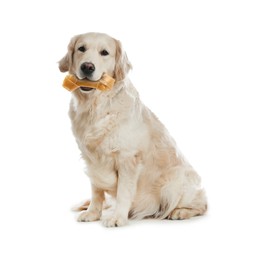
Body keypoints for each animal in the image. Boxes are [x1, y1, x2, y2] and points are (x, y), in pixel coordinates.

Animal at [58, 32, 207, 228]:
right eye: (81, 48)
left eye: (104, 52)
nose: (87, 67)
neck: (97, 106)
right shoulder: (92, 159)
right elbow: (96, 191)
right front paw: (92, 213)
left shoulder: (127, 158)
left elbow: (123, 192)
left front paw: (117, 218)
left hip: (174, 182)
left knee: (201, 204)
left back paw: (179, 212)